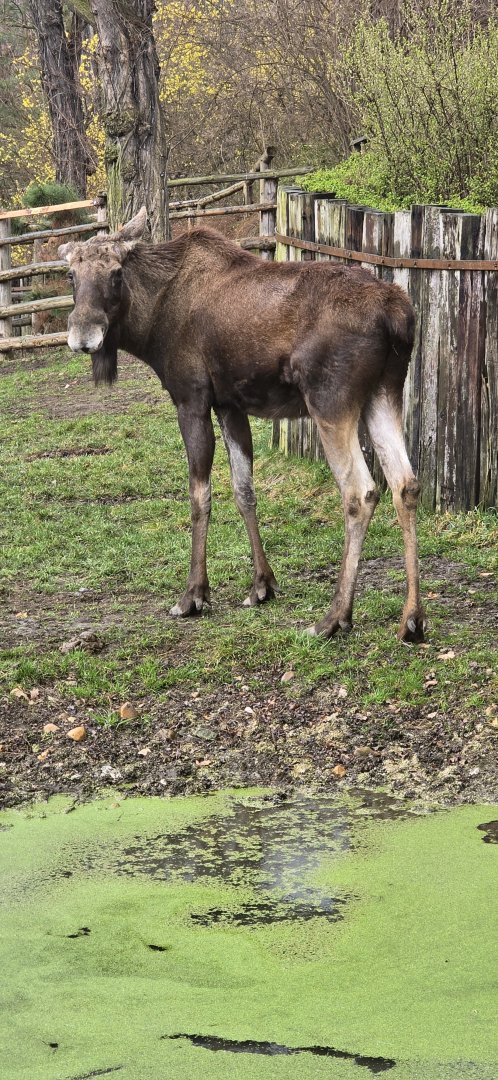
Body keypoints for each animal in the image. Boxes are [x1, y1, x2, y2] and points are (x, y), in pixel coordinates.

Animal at [59, 207, 425, 642]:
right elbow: (244, 489)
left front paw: (194, 594)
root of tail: (399, 317)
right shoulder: (230, 404)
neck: (150, 326)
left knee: (361, 490)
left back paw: (335, 616)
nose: (83, 336)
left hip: (331, 401)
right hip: (383, 393)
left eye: (116, 273)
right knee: (405, 483)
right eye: (71, 275)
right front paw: (262, 585)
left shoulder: (192, 398)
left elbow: (200, 495)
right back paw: (412, 618)